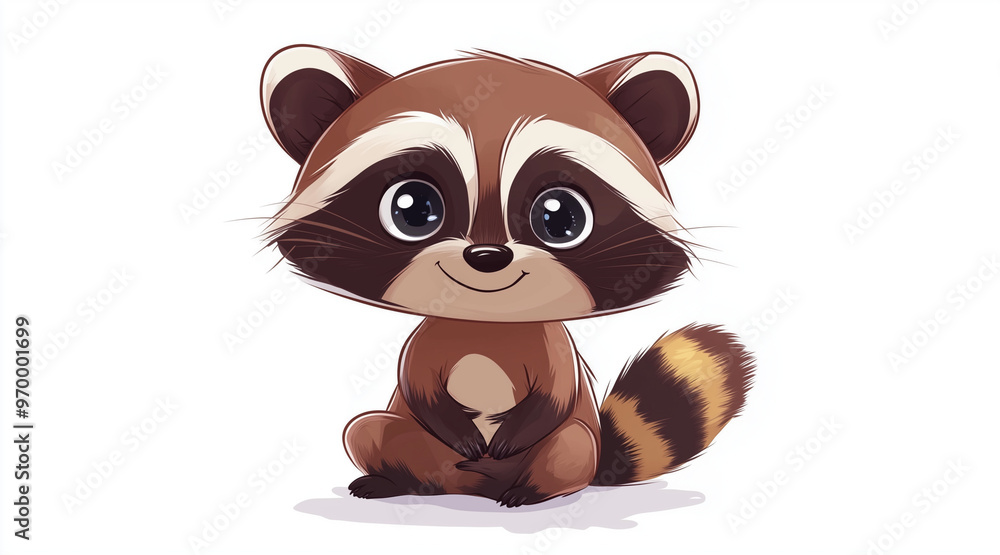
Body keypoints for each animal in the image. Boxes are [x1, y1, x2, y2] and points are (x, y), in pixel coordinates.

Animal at [258, 45, 753, 507]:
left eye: (561, 216)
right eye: (413, 208)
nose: (487, 256)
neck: (488, 325)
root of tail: (471, 490)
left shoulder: (551, 345)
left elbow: (557, 393)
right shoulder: (430, 337)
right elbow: (416, 384)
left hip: (574, 447)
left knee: (570, 445)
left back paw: (533, 491)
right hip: (425, 453)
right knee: (368, 429)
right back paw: (397, 481)